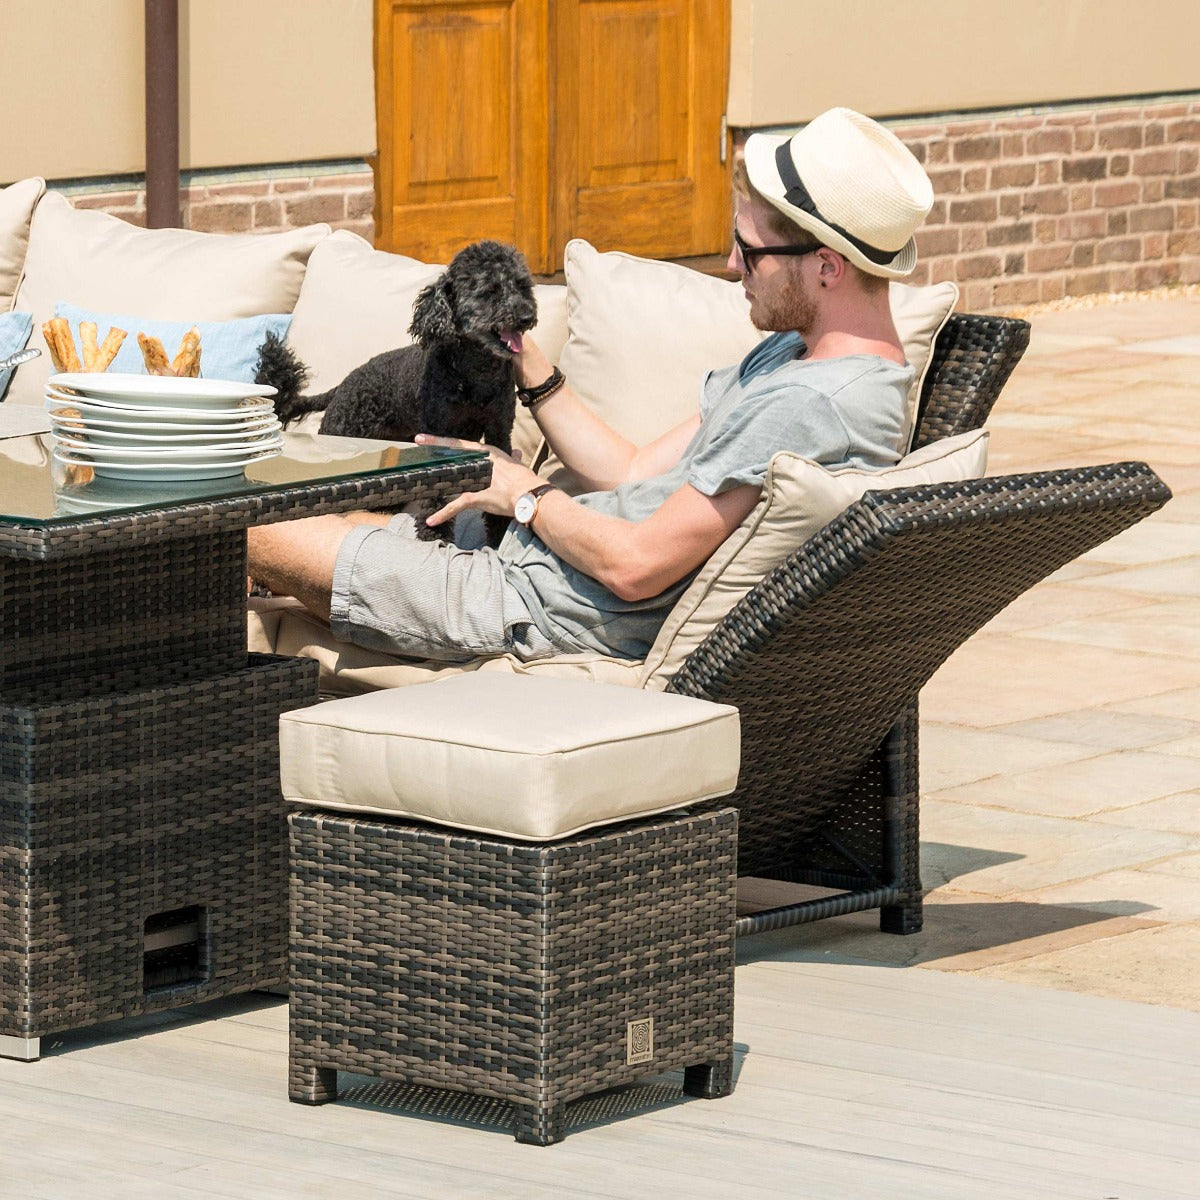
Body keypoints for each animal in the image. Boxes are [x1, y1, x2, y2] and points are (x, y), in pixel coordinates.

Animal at [265, 238, 542, 549]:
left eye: (522, 286)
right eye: (489, 292)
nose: (526, 317)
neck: (474, 374)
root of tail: (342, 385)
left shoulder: (499, 429)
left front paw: (499, 529)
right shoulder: (437, 433)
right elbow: (436, 491)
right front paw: (435, 532)